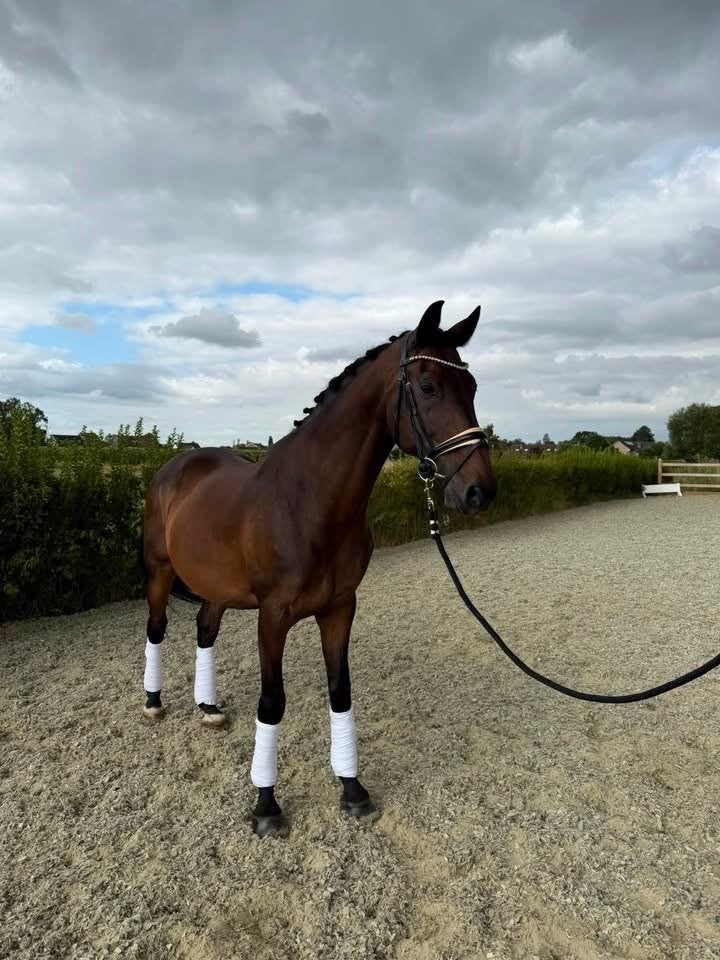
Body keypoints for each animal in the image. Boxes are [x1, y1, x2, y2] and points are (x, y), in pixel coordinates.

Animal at [141, 299, 497, 835]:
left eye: (472, 387)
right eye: (428, 386)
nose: (479, 491)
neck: (310, 502)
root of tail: (175, 466)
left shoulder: (340, 608)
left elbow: (340, 692)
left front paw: (352, 789)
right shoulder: (273, 617)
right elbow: (273, 703)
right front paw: (266, 805)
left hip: (218, 588)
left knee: (205, 628)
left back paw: (209, 708)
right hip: (160, 572)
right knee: (158, 628)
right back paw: (152, 703)